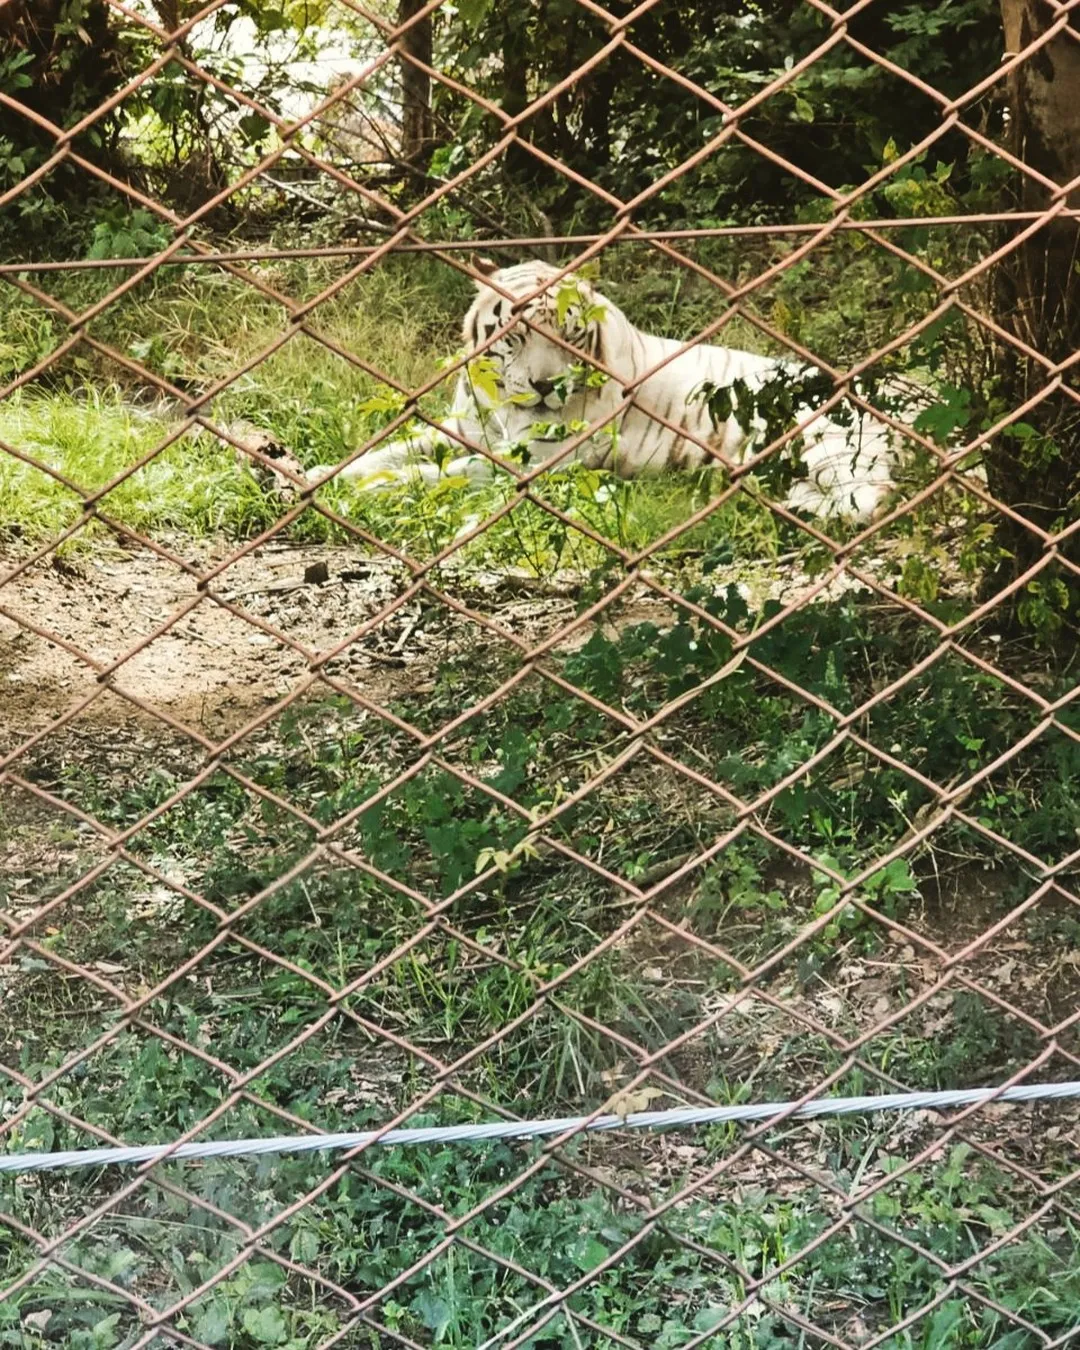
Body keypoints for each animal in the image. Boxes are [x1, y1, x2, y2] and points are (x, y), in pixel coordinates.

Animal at [310, 256, 896, 515]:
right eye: (517, 335)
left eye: (570, 336)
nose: (544, 384)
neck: (502, 408)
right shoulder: (462, 430)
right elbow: (390, 451)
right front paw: (318, 475)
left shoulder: (538, 458)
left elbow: (437, 475)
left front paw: (368, 490)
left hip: (825, 443)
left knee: (871, 498)